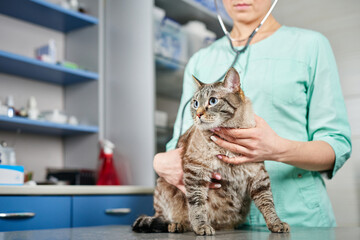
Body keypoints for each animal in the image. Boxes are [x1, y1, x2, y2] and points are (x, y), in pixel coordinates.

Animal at [132, 68, 290, 236]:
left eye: (213, 101)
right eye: (195, 103)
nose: (198, 114)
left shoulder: (258, 174)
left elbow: (268, 203)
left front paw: (276, 223)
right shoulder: (196, 170)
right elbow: (197, 204)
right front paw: (201, 226)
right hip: (161, 185)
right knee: (160, 217)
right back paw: (176, 224)